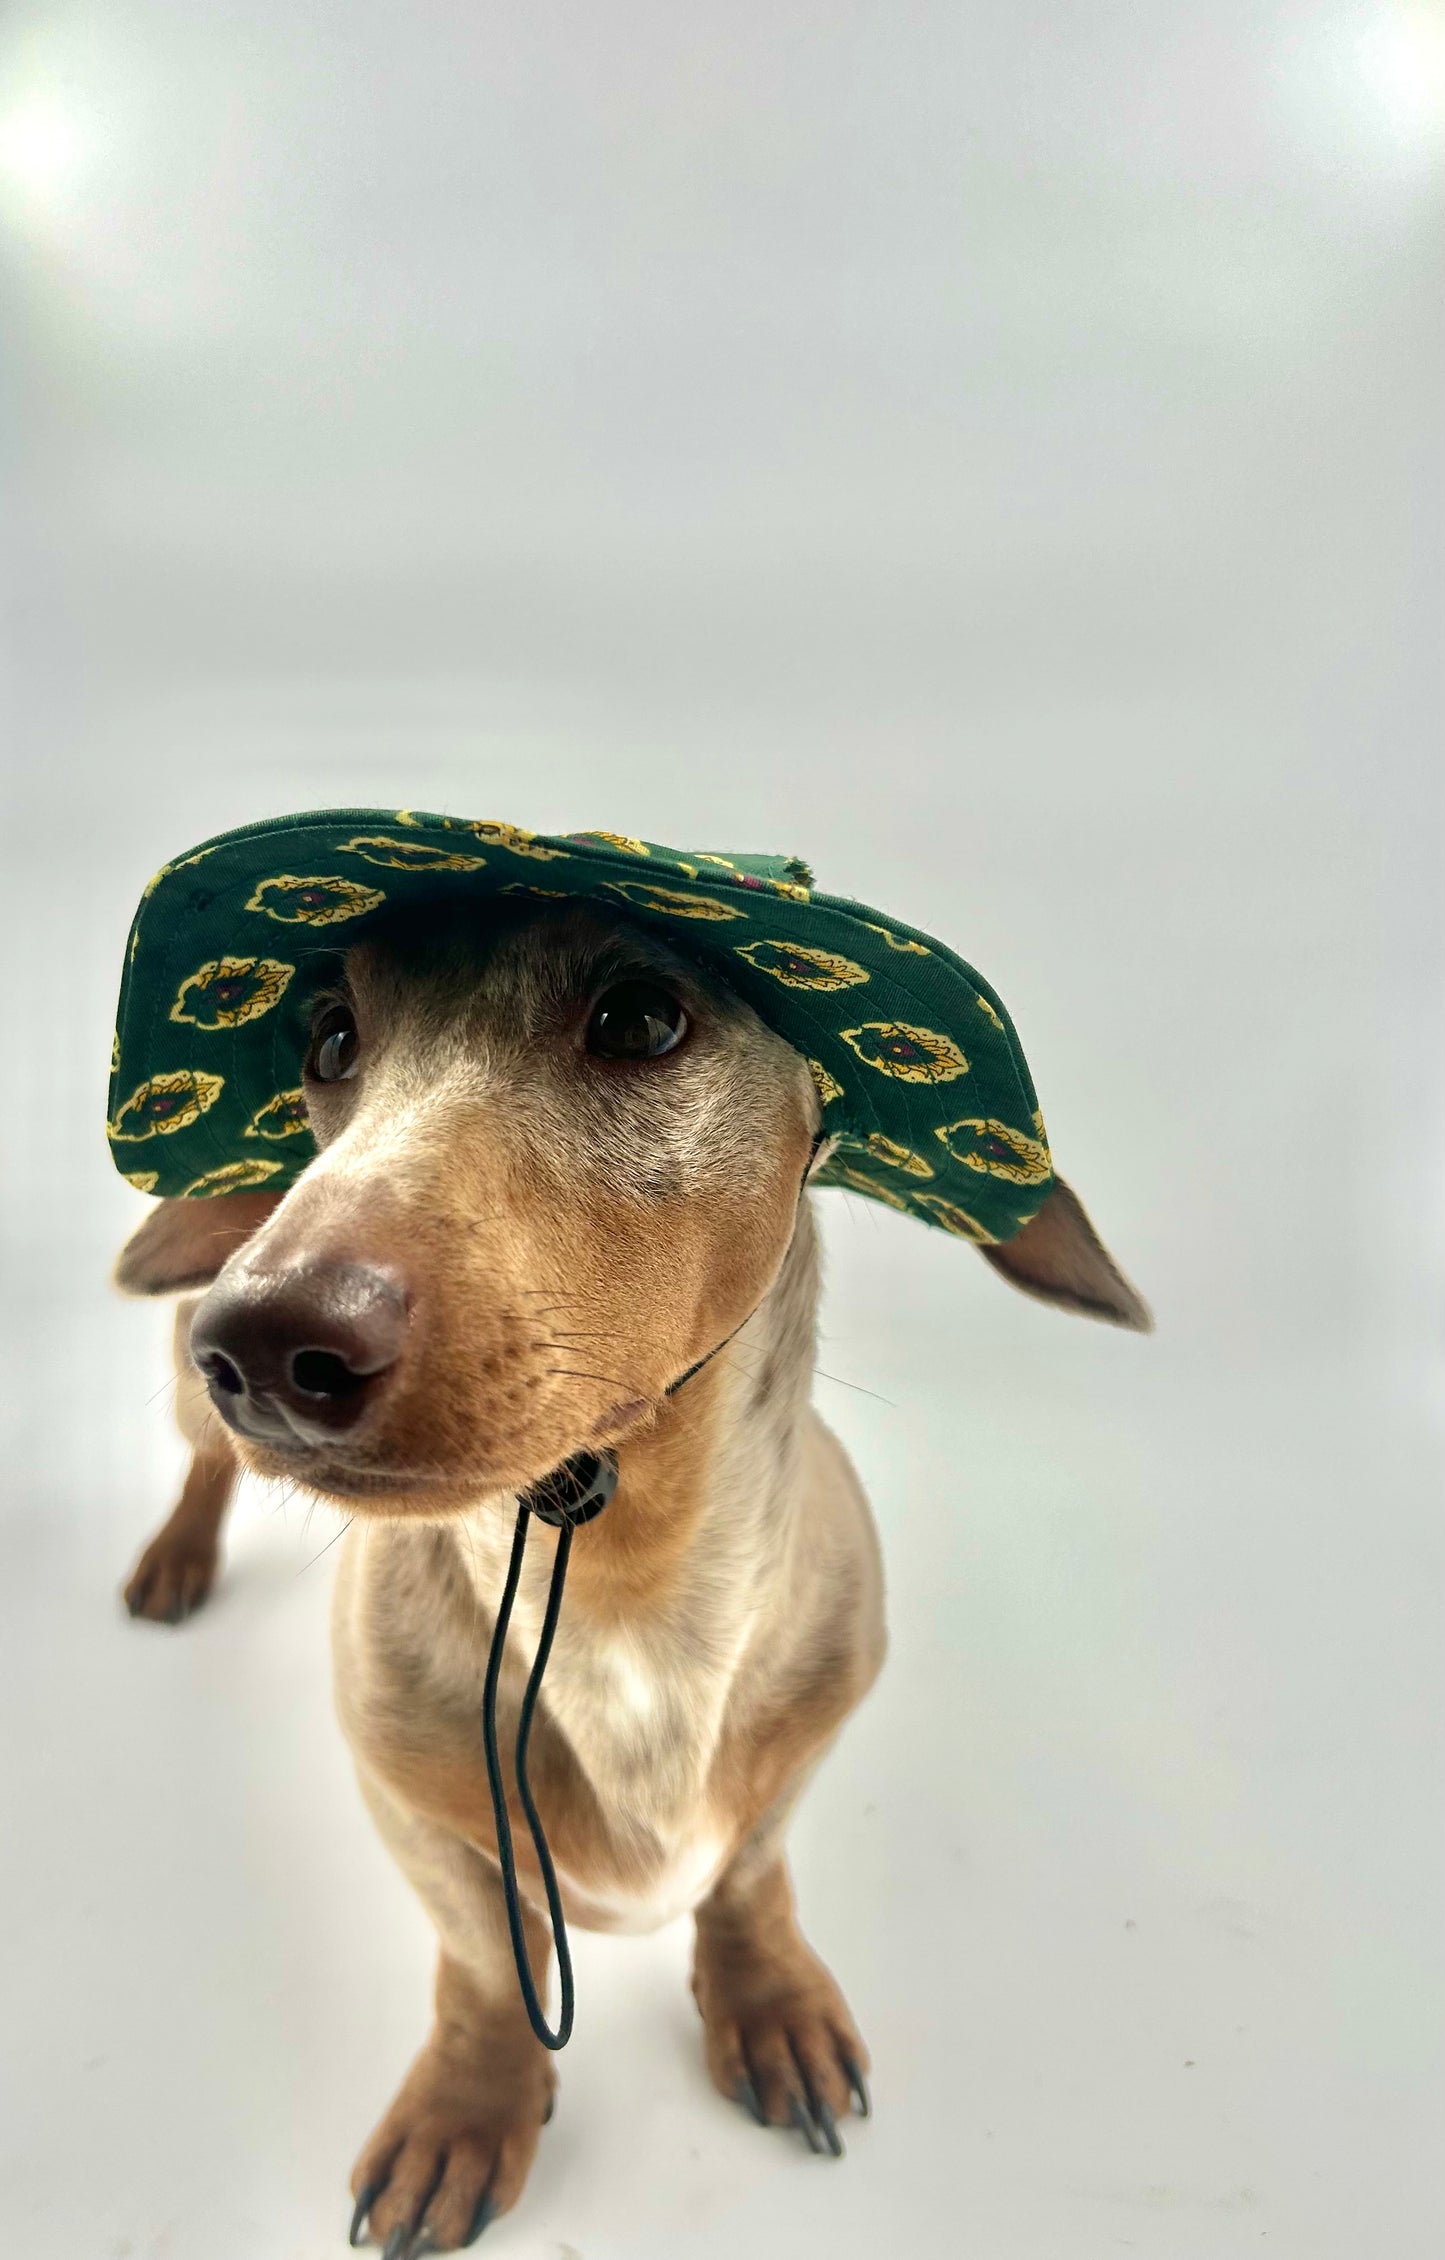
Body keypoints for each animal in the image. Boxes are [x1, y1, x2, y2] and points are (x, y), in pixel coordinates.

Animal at [115, 894, 1153, 2241]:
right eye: (331, 1038)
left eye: (642, 1016)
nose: (262, 1337)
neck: (620, 1591)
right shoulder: (407, 1809)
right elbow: (480, 1966)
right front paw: (467, 2108)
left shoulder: (807, 1740)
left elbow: (747, 1878)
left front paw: (766, 2001)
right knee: (201, 1468)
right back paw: (174, 1559)